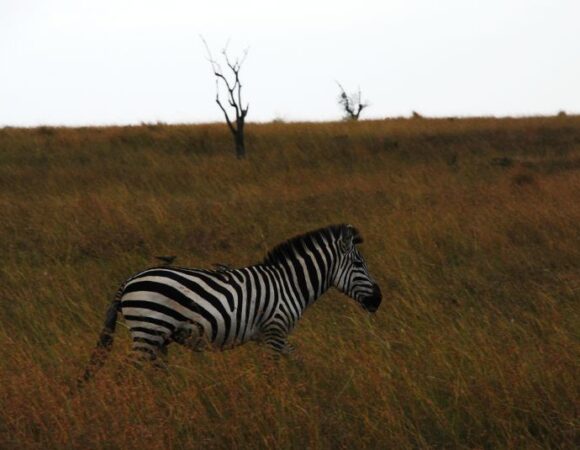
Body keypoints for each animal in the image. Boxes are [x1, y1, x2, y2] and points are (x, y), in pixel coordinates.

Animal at [81, 223, 380, 382]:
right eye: (358, 264)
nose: (378, 299)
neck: (289, 284)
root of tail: (130, 280)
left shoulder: (272, 334)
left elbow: (298, 359)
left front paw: (313, 383)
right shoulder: (275, 329)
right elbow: (272, 370)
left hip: (158, 337)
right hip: (148, 329)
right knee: (126, 374)